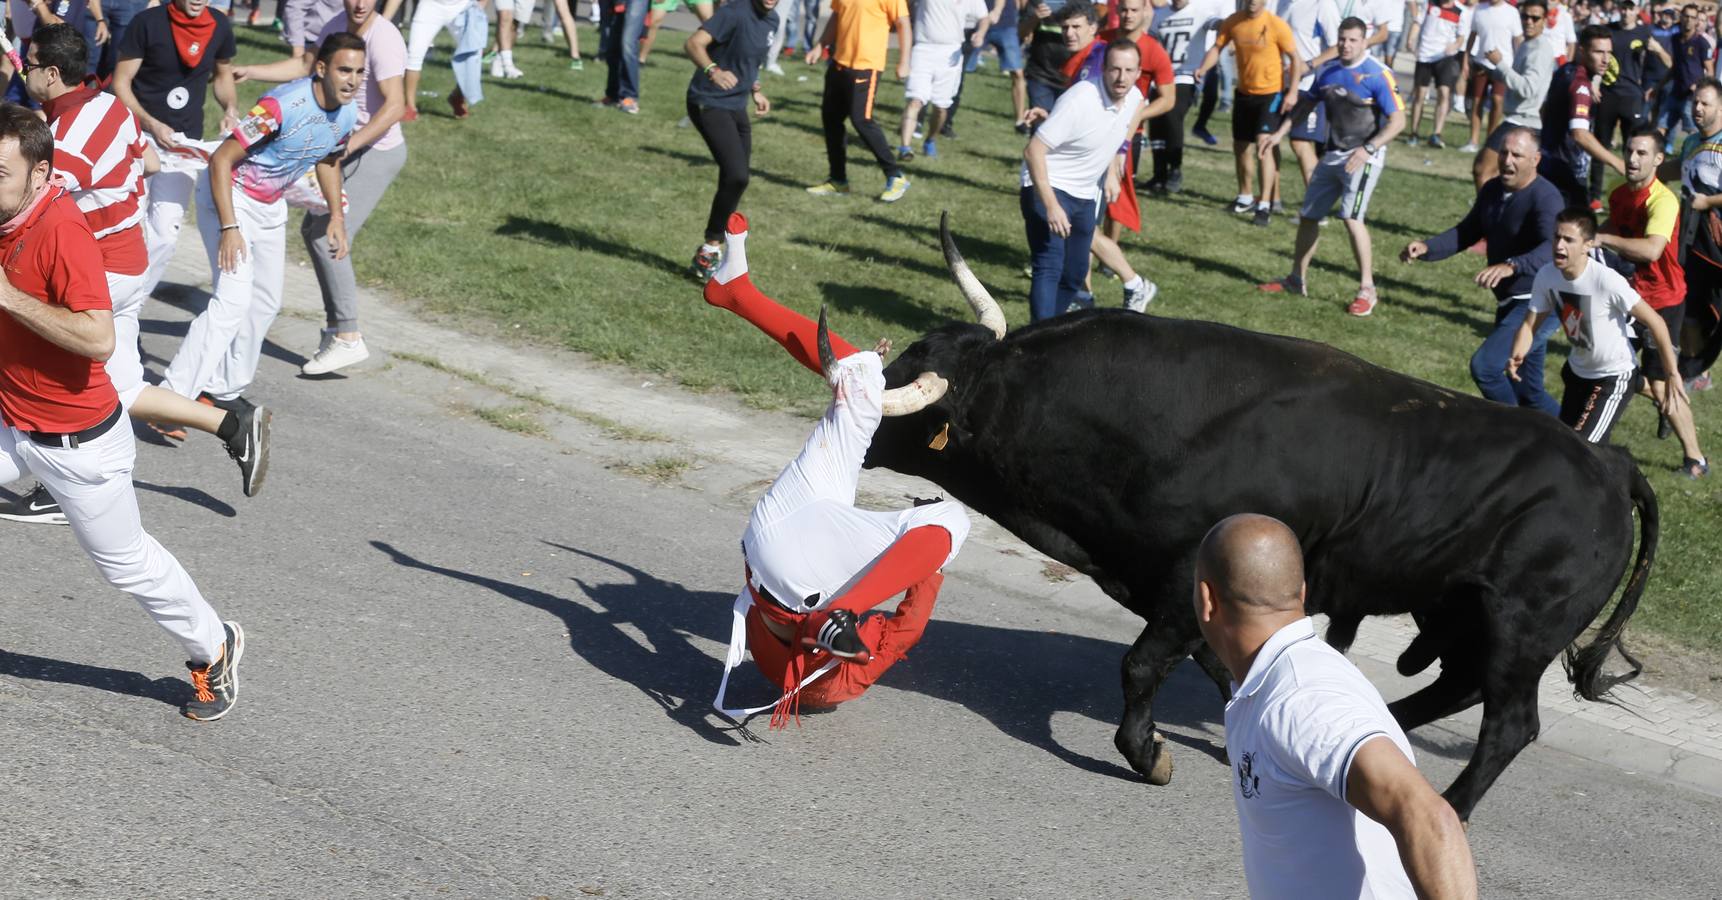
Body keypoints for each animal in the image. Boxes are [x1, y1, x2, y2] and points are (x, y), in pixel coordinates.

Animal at [861, 220, 1653, 822]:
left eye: (902, 392)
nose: (846, 404)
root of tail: (1606, 460)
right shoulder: (1183, 588)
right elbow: (1219, 662)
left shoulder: (1185, 577)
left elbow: (1141, 664)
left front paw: (1147, 754)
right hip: (1459, 613)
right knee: (1458, 688)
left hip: (1522, 627)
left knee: (1509, 725)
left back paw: (1451, 808)